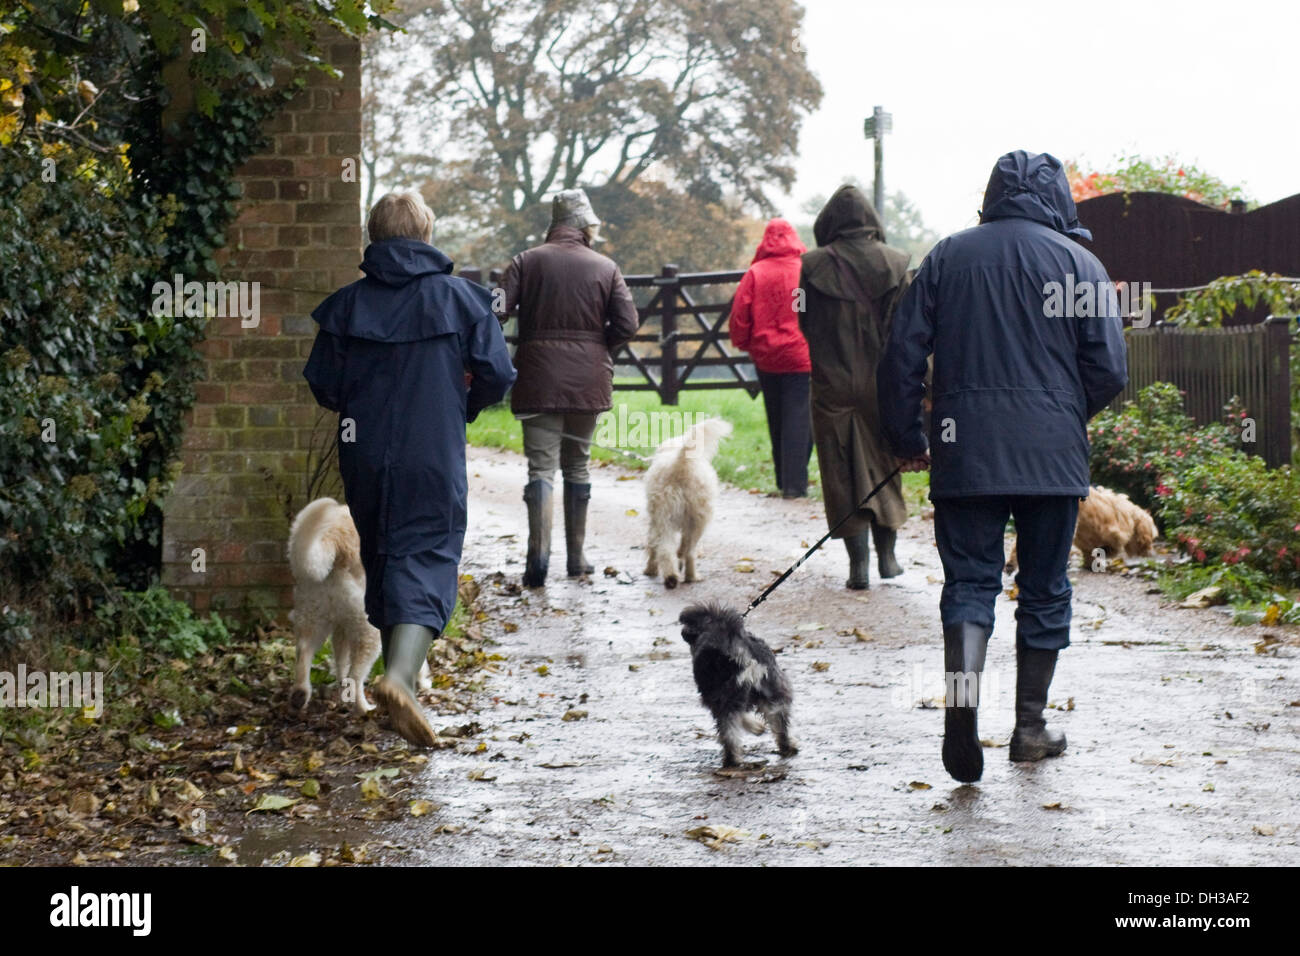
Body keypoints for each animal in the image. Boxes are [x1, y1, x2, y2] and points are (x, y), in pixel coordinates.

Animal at [644, 421, 738, 590]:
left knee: (665, 548)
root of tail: (680, 462)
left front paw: (651, 569)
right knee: (688, 551)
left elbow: (654, 546)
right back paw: (689, 576)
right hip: (695, 519)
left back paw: (672, 577)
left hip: (665, 517)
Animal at [681, 600, 790, 764]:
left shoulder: (713, 697)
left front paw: (756, 728)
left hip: (726, 696)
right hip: (773, 689)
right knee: (779, 720)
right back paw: (788, 748)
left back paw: (731, 760)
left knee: (729, 733)